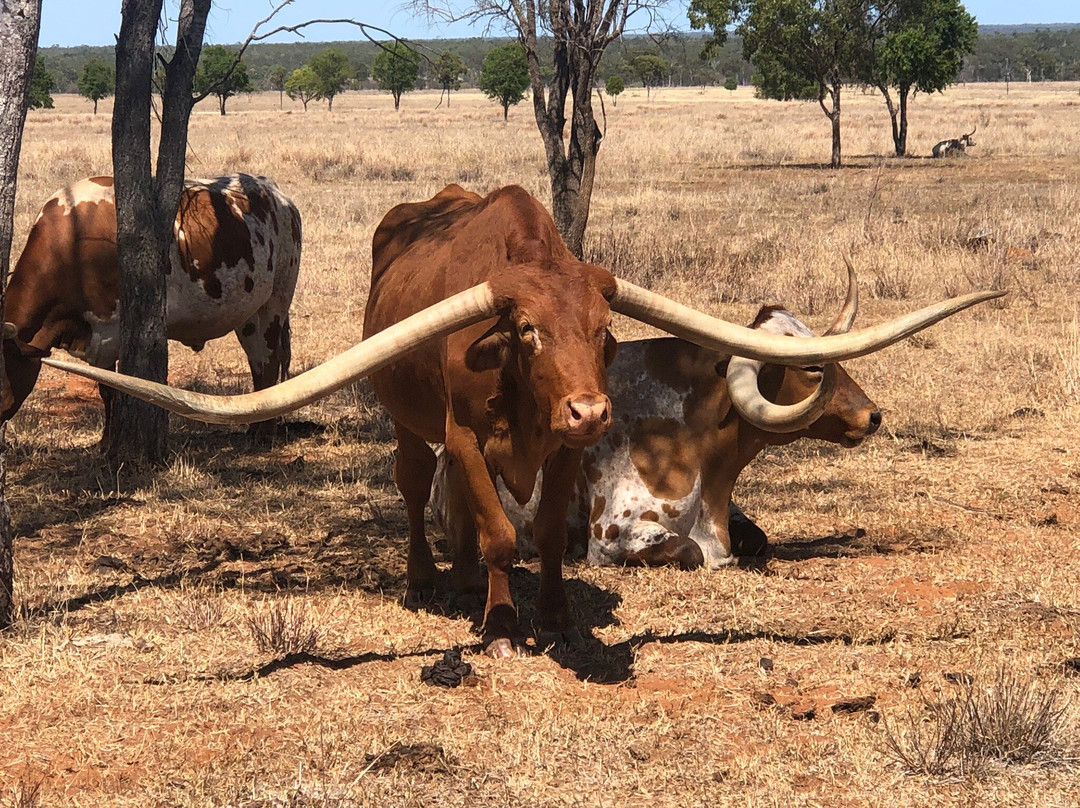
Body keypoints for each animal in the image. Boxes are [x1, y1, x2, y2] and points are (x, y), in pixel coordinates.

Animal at [3, 171, 304, 436]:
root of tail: (275, 192)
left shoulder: (108, 335)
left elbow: (112, 389)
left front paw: (108, 443)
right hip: (249, 315)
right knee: (258, 362)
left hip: (274, 303)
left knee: (269, 360)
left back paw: (264, 433)